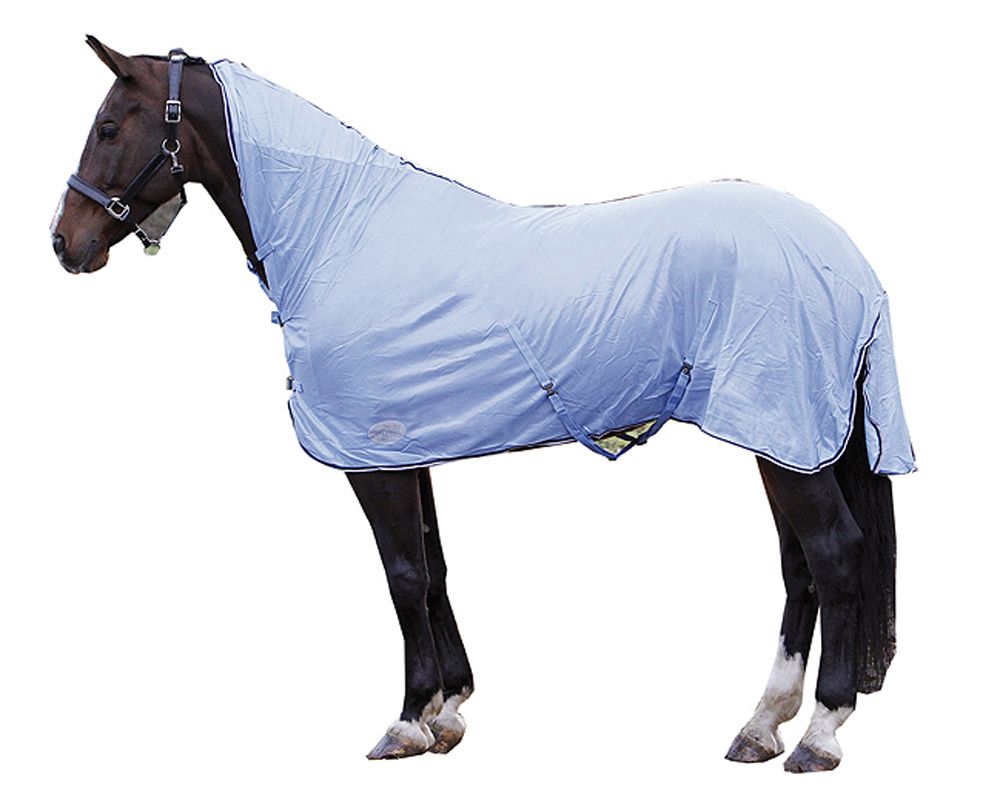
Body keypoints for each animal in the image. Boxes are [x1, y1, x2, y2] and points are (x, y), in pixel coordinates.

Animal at [50, 38, 914, 773]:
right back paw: (761, 726)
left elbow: (402, 574)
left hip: (787, 438)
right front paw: (450, 709)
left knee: (834, 555)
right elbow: (433, 567)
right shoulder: (405, 447)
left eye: (107, 125)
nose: (65, 242)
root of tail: (850, 262)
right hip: (785, 439)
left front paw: (407, 721)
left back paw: (819, 735)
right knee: (800, 568)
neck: (342, 234)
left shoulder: (372, 458)